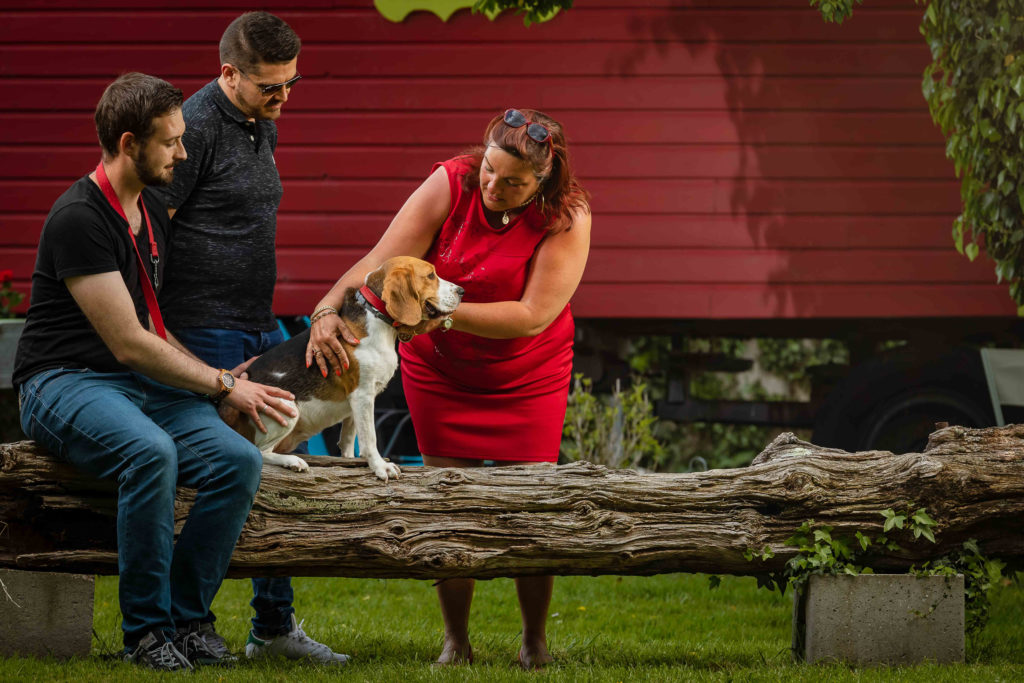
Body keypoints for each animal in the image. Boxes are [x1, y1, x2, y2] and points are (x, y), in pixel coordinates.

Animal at [228, 254, 464, 481]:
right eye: (431, 275)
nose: (462, 291)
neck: (375, 316)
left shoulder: (357, 401)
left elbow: (349, 437)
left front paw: (349, 461)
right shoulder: (363, 394)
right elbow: (370, 438)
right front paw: (380, 466)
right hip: (287, 405)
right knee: (260, 451)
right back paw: (292, 461)